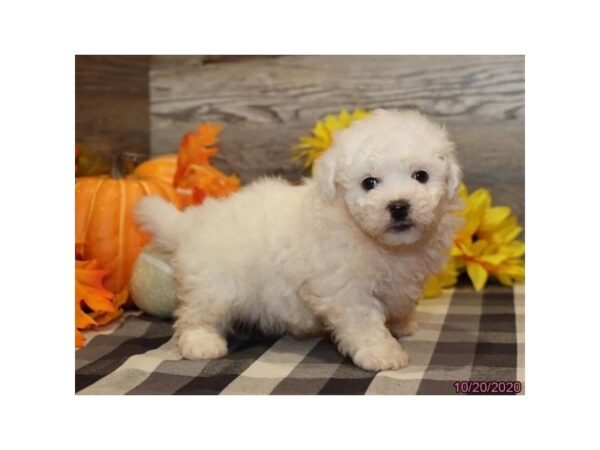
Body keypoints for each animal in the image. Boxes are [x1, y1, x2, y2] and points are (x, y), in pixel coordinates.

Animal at [137, 108, 464, 370]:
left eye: (421, 176)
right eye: (369, 183)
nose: (398, 206)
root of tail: (190, 222)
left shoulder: (402, 281)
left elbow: (402, 302)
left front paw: (404, 323)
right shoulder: (345, 288)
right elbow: (364, 322)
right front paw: (383, 353)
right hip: (214, 285)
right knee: (194, 316)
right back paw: (202, 343)